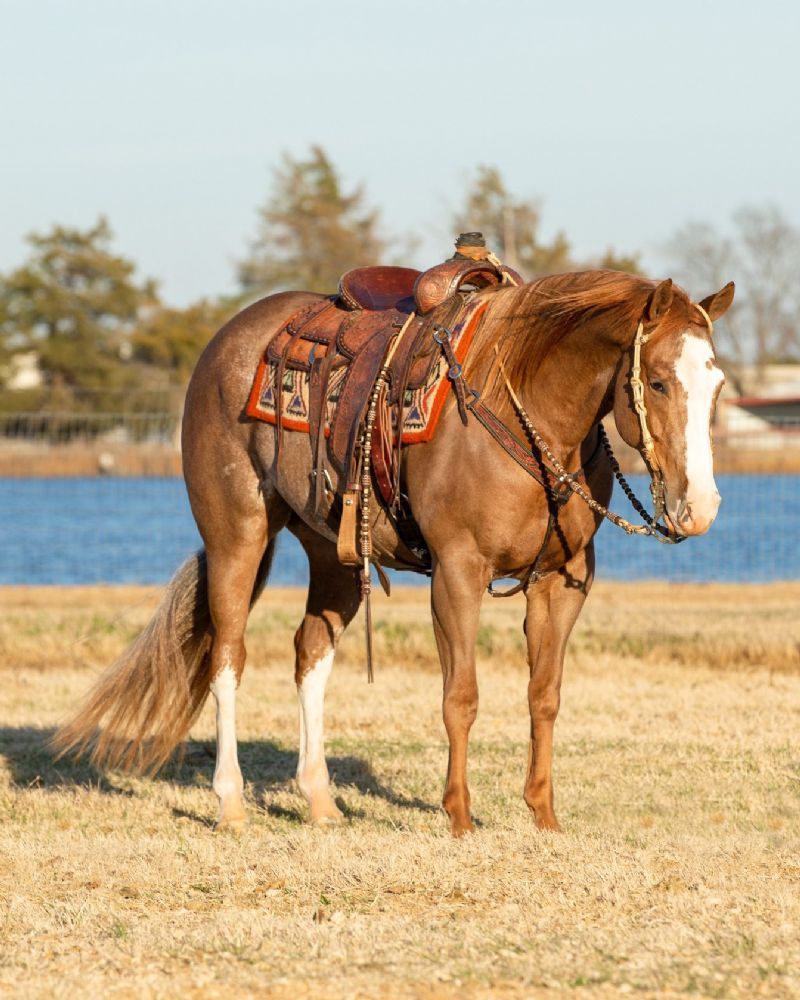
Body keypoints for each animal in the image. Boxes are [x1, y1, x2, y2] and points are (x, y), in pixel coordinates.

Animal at [54, 267, 734, 836]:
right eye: (656, 382)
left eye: (718, 384)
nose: (700, 509)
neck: (526, 409)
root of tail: (224, 342)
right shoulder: (457, 572)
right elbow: (460, 696)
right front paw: (458, 817)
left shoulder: (562, 581)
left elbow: (545, 695)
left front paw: (544, 817)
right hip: (236, 536)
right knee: (228, 657)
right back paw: (231, 804)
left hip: (331, 554)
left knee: (311, 653)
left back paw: (321, 801)